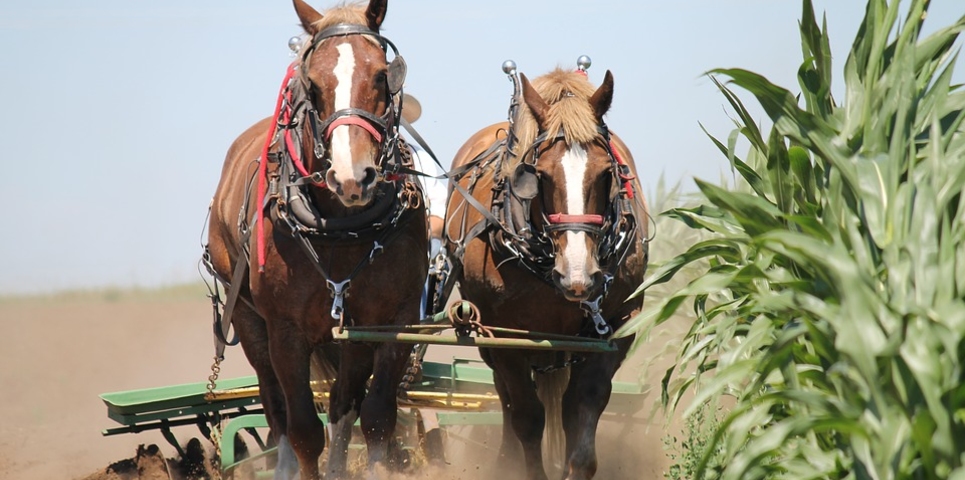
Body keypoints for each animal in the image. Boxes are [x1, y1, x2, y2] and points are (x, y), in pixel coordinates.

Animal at [205, 1, 428, 478]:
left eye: (381, 75)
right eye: (312, 83)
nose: (351, 177)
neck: (341, 228)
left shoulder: (391, 320)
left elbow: (376, 417)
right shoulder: (285, 332)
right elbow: (305, 430)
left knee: (344, 403)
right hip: (247, 319)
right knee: (276, 409)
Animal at [442, 65, 648, 478]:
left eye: (607, 173)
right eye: (539, 175)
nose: (578, 276)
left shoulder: (619, 323)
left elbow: (583, 405)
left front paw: (576, 464)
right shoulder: (504, 333)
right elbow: (526, 415)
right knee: (507, 398)